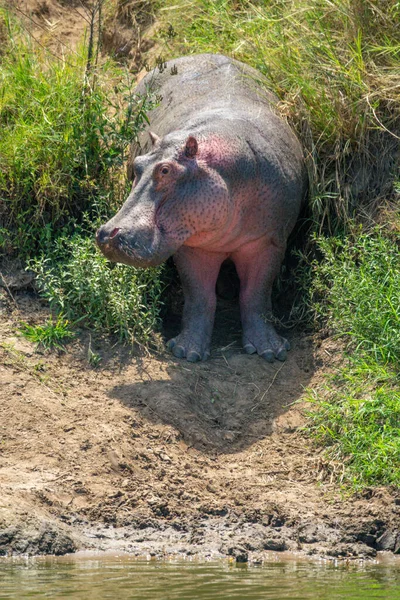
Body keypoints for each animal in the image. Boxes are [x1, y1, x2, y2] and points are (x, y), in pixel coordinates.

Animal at [96, 52, 306, 360]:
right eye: (137, 165)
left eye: (166, 170)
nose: (106, 233)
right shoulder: (191, 246)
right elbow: (199, 296)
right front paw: (187, 352)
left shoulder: (269, 242)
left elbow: (256, 293)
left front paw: (270, 351)